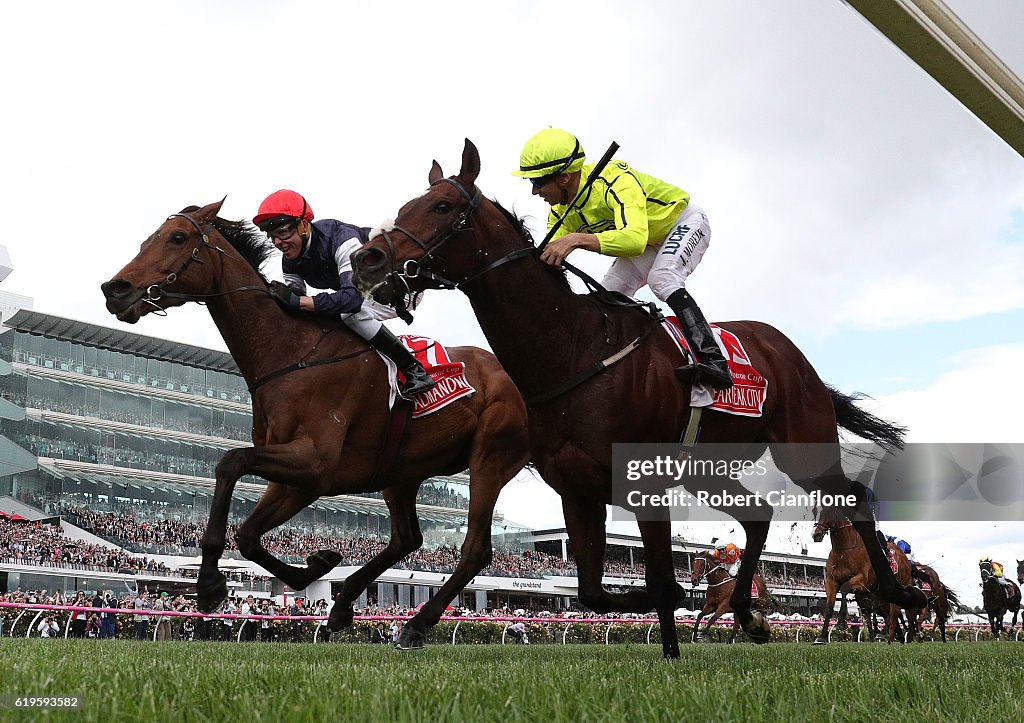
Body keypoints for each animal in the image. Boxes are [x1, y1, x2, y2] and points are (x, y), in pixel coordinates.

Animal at [102, 199, 532, 643]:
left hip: (490, 458)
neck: (291, 352)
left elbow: (230, 463)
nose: (115, 290)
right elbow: (248, 535)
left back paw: (415, 624)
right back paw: (343, 606)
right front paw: (317, 564)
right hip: (402, 474)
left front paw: (208, 585)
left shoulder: (314, 464)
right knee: (406, 539)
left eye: (177, 237)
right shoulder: (300, 478)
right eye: (146, 240)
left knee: (475, 549)